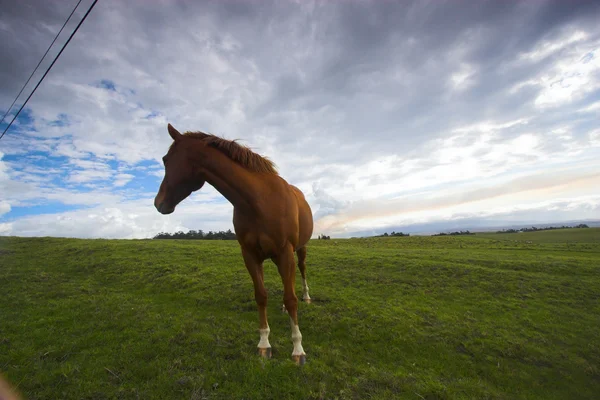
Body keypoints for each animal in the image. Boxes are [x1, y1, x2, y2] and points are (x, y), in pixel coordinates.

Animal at [154, 124, 314, 366]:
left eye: (165, 159)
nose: (158, 203)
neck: (259, 201)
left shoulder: (285, 252)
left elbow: (291, 298)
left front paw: (298, 349)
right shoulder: (250, 255)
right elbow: (261, 295)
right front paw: (264, 344)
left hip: (299, 250)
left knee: (301, 273)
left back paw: (306, 296)